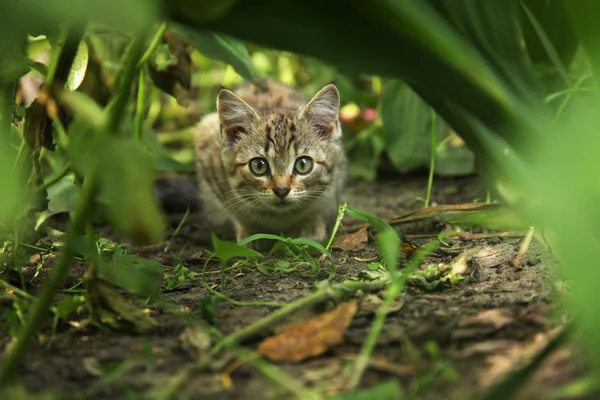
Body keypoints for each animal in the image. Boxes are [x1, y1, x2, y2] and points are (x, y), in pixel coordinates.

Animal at [195, 78, 346, 250]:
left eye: (303, 164)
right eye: (258, 166)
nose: (281, 190)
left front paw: (310, 224)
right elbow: (235, 210)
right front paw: (251, 230)